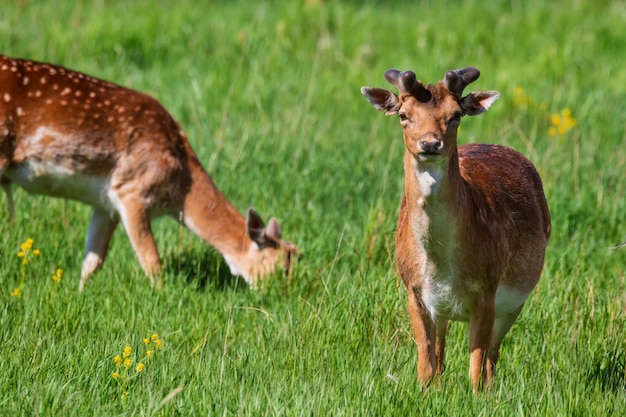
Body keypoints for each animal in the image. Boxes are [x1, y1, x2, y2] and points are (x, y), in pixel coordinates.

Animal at [0, 54, 298, 290]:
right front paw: (163, 299)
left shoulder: (105, 203)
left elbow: (92, 262)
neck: (180, 189)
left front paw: (78, 295)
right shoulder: (133, 191)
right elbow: (152, 262)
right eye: (282, 267)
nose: (281, 296)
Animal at [358, 66, 548, 390]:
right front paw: (423, 393)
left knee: (492, 357)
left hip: (516, 300)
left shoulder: (487, 290)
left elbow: (476, 366)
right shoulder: (414, 290)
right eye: (403, 114)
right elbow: (426, 364)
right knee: (441, 355)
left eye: (456, 114)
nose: (430, 144)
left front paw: (476, 396)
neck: (441, 263)